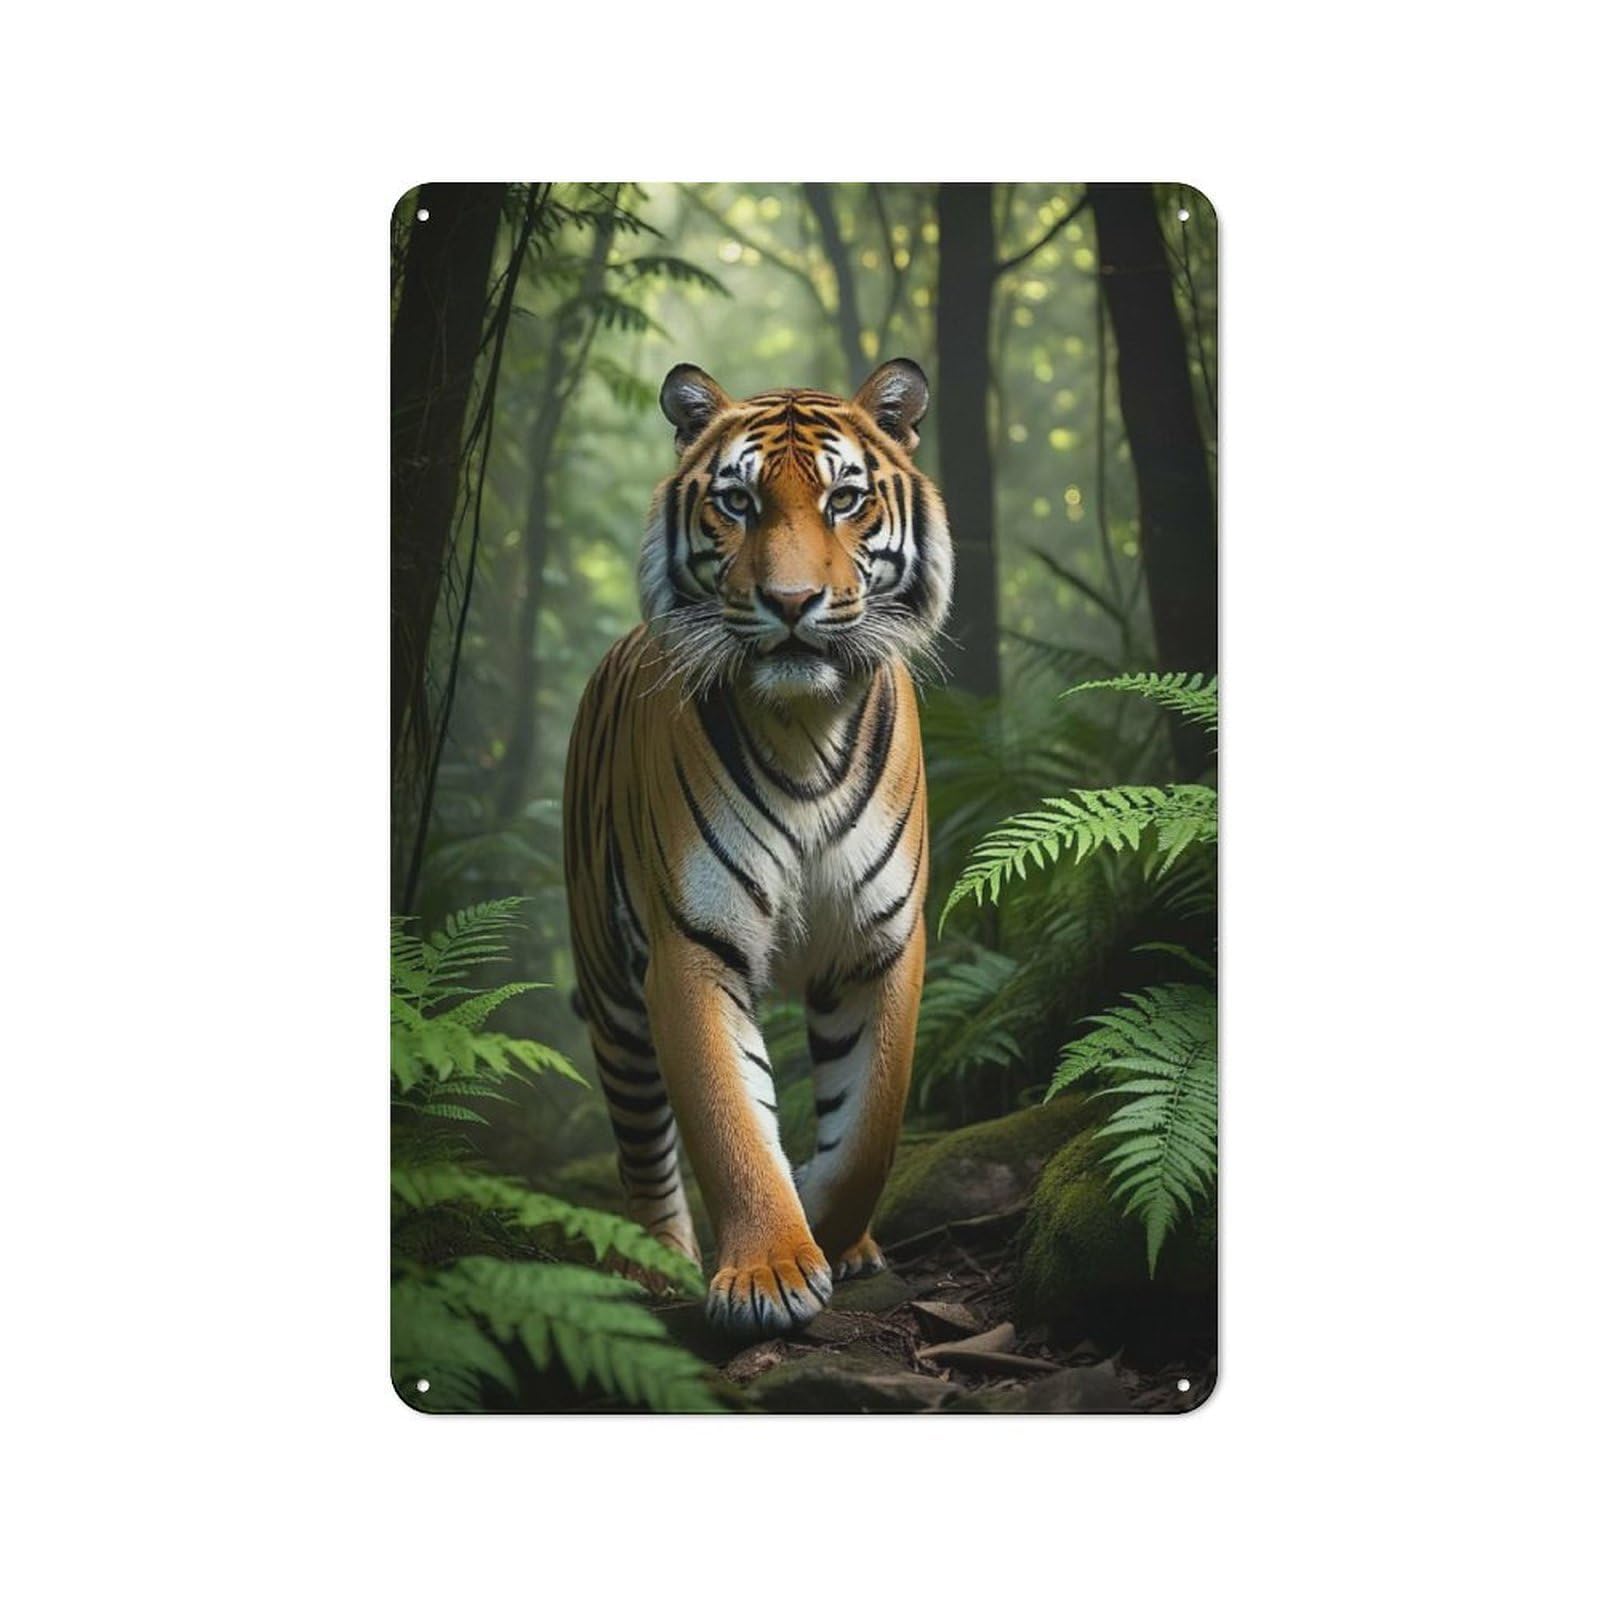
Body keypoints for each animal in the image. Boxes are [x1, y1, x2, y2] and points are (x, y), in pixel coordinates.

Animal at [562, 357, 952, 1338]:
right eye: (736, 503)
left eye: (845, 499)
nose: (790, 603)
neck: (805, 724)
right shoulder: (690, 945)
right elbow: (730, 1123)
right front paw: (771, 1270)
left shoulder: (880, 941)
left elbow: (868, 1128)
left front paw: (828, 1225)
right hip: (610, 989)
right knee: (643, 1147)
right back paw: (654, 1264)